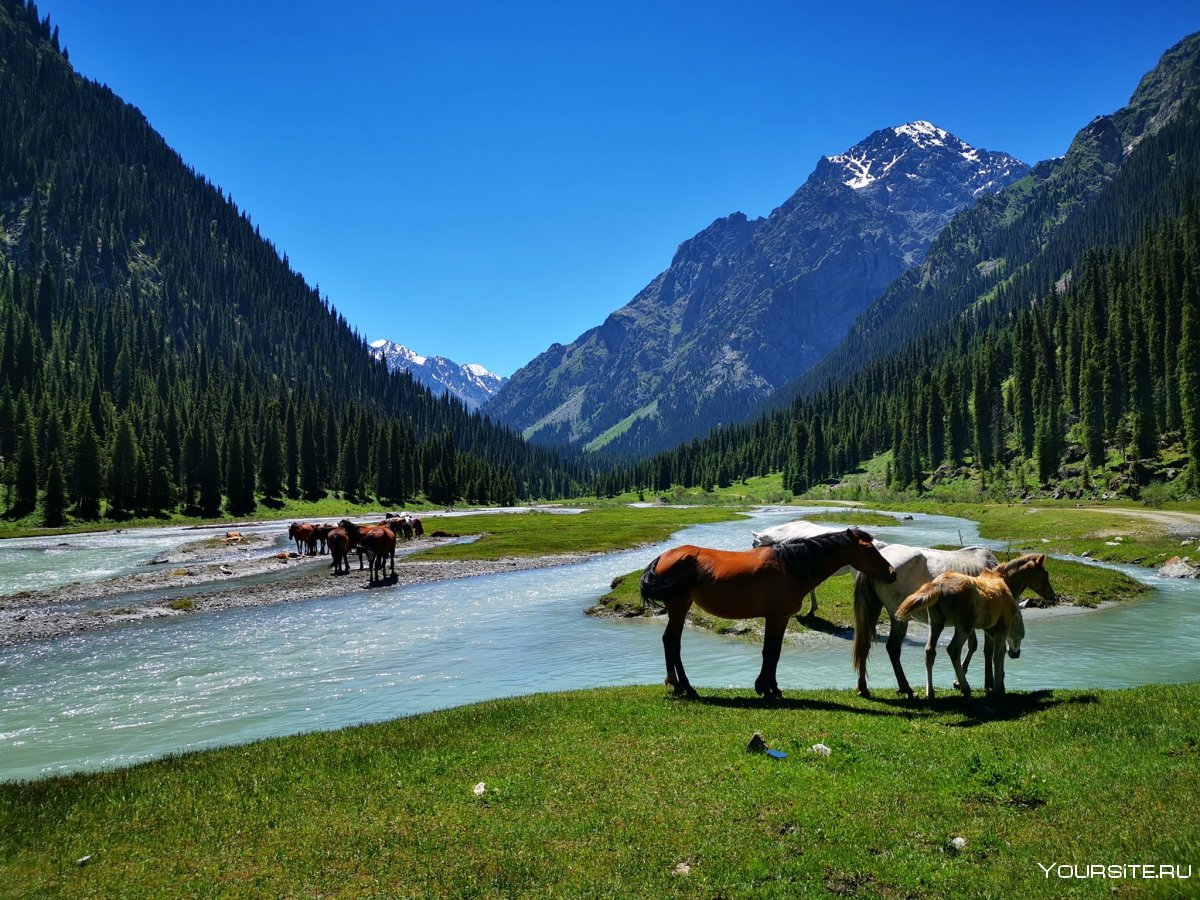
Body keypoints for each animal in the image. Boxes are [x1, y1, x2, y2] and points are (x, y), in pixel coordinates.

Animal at [849, 542, 1008, 696]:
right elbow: (987, 650)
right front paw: (988, 683)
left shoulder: (968, 621)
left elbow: (973, 645)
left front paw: (960, 680)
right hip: (899, 618)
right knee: (893, 648)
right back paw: (906, 688)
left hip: (874, 609)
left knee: (865, 645)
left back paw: (863, 688)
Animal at [897, 554, 1056, 700]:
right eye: (1045, 573)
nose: (1053, 595)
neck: (1005, 582)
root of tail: (939, 586)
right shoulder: (997, 627)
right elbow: (994, 653)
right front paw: (995, 686)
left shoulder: (986, 628)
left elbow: (983, 649)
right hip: (963, 625)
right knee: (953, 649)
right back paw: (966, 688)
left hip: (936, 623)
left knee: (930, 651)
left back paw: (930, 693)